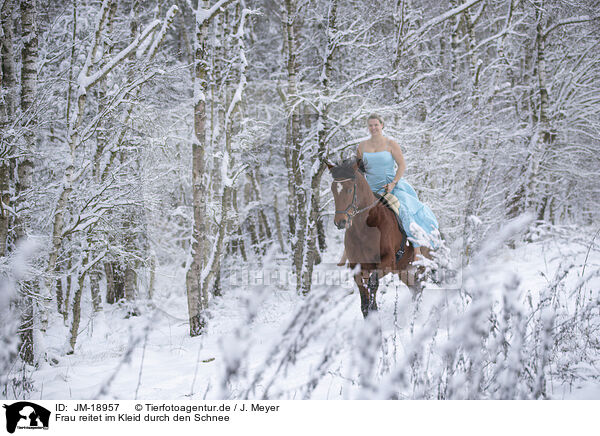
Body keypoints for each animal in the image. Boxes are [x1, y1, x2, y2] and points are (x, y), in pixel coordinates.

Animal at [328, 158, 426, 316]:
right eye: (333, 190)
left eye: (349, 189)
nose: (340, 222)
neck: (364, 229)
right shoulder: (358, 268)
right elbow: (364, 301)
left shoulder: (387, 262)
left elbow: (373, 284)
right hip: (404, 269)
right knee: (415, 288)